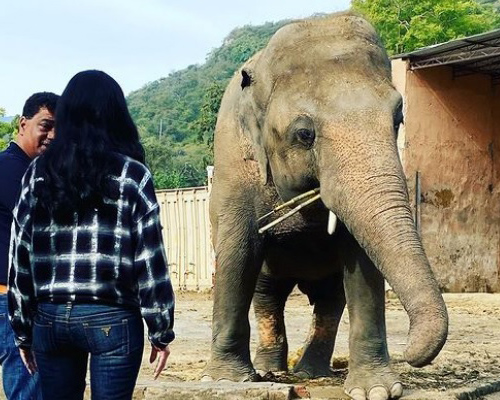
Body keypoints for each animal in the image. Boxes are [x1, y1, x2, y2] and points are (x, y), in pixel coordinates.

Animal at [204, 10, 450, 398]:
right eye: (305, 134)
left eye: (398, 119)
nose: (411, 353)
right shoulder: (231, 157)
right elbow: (238, 250)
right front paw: (225, 381)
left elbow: (361, 259)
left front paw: (376, 390)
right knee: (266, 292)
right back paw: (270, 370)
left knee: (330, 299)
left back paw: (309, 372)